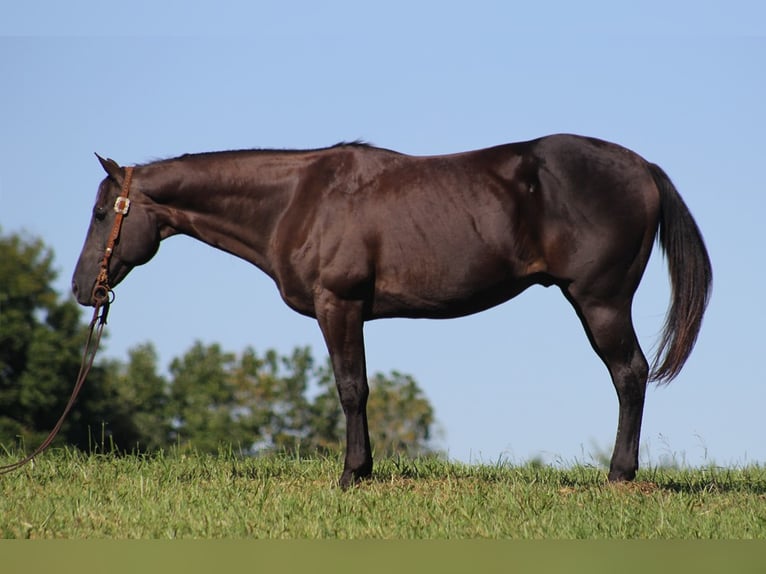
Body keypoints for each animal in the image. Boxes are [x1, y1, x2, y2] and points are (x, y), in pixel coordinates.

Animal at [72, 136, 712, 490]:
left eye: (103, 212)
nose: (83, 289)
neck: (298, 200)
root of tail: (642, 167)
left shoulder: (340, 305)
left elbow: (352, 389)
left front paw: (353, 473)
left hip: (600, 301)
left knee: (629, 374)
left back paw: (619, 474)